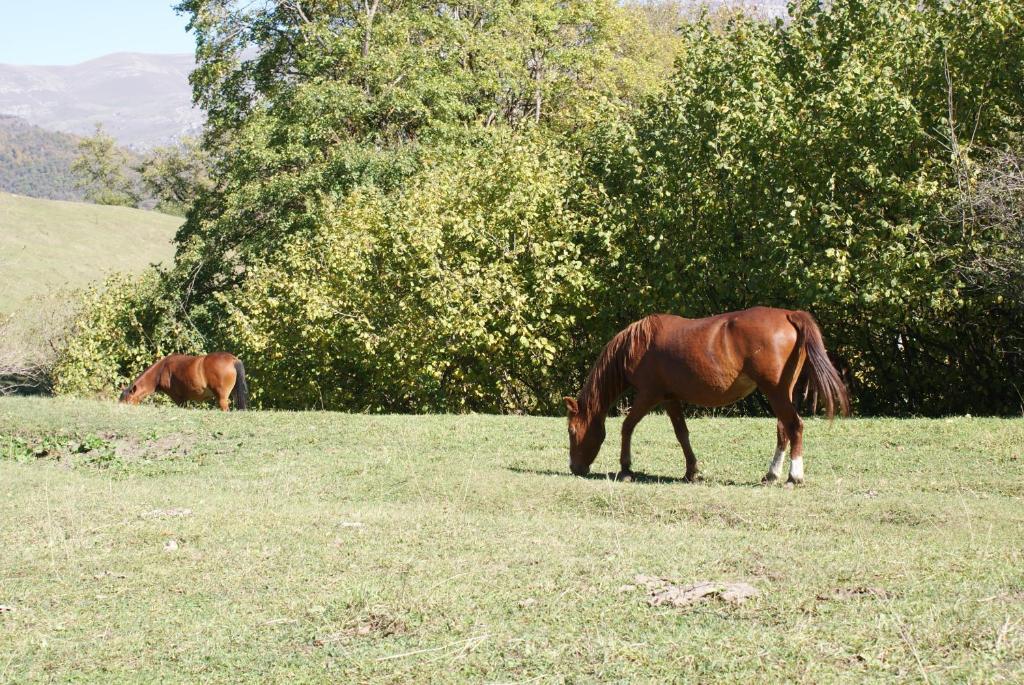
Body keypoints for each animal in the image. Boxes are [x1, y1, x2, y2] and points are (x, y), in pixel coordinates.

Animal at [561, 307, 847, 483]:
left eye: (572, 431)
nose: (575, 468)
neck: (638, 344)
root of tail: (789, 315)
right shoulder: (670, 398)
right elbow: (682, 434)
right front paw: (691, 471)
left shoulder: (649, 395)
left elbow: (627, 426)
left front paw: (626, 468)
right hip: (781, 391)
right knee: (783, 429)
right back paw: (771, 474)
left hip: (775, 390)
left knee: (794, 426)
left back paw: (794, 476)